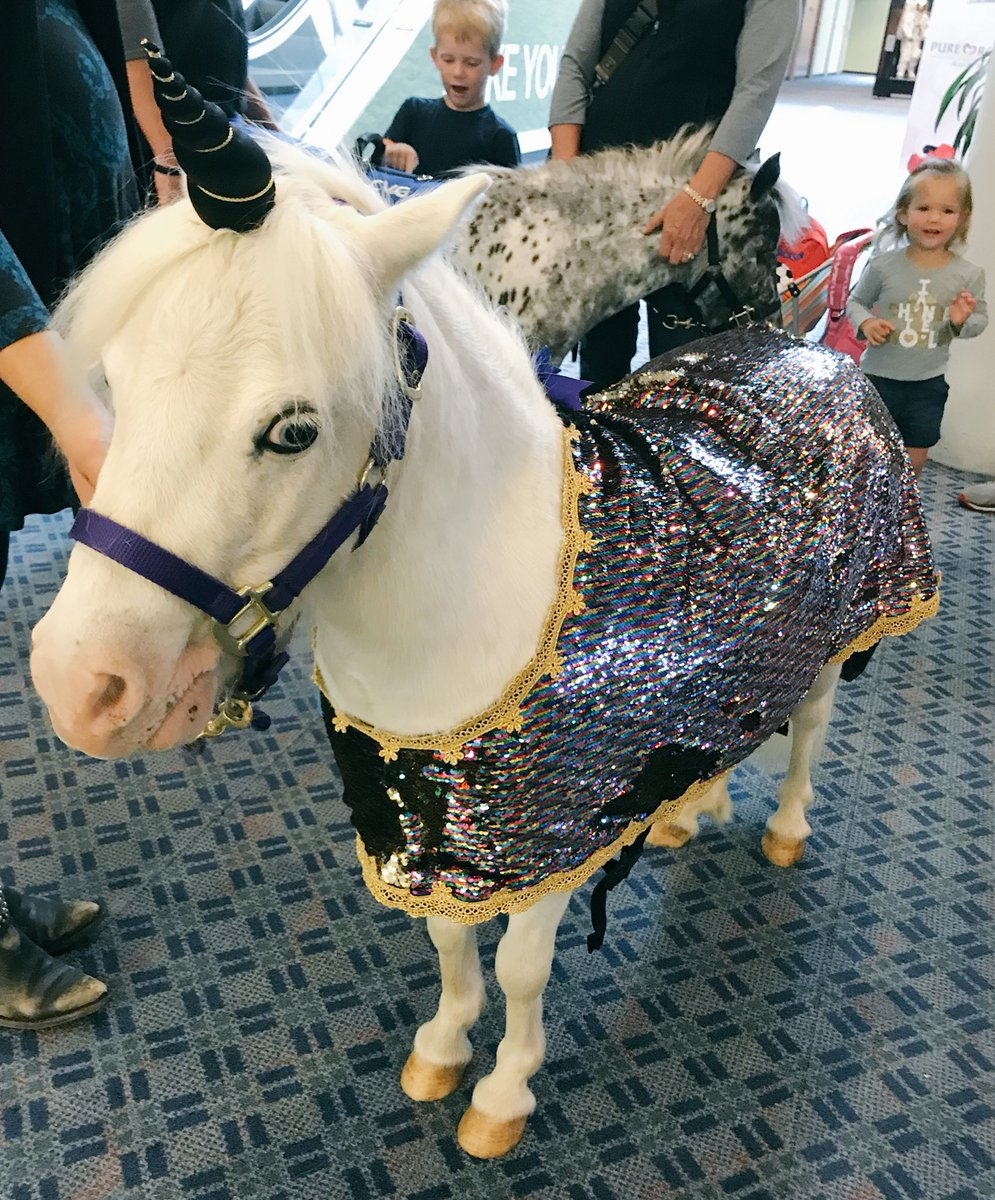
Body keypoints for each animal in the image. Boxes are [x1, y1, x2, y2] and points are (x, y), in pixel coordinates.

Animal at [30, 57, 939, 1159]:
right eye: (114, 387)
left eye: (292, 430)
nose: (83, 685)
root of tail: (797, 351)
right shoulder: (420, 819)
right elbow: (445, 943)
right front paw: (441, 1047)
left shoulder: (544, 833)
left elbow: (516, 967)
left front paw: (502, 1094)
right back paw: (690, 812)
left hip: (840, 633)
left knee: (807, 727)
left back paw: (786, 829)